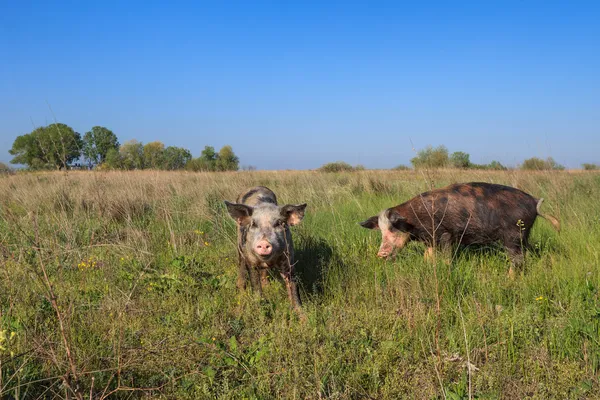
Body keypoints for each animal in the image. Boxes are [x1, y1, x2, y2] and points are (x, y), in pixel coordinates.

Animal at [358, 182, 560, 272]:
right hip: (524, 235)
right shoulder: (430, 240)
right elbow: (427, 257)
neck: (413, 219)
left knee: (517, 260)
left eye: (393, 228)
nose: (380, 254)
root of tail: (534, 202)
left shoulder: (446, 235)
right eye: (381, 230)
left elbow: (447, 257)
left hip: (513, 237)